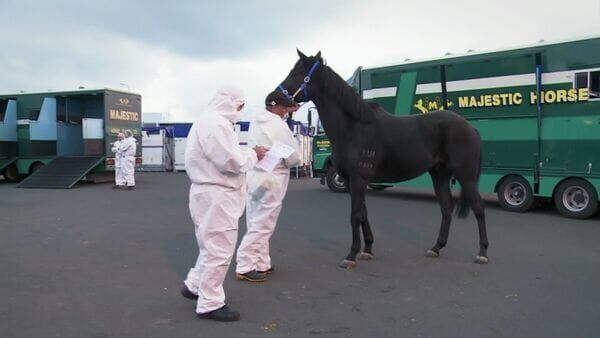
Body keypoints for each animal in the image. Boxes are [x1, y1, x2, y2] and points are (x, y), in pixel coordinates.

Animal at [276, 50, 488, 268]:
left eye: (299, 72)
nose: (272, 98)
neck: (353, 127)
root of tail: (471, 128)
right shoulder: (353, 181)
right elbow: (363, 213)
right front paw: (367, 249)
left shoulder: (358, 179)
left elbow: (355, 215)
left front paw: (351, 255)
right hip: (440, 175)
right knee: (446, 209)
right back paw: (436, 248)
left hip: (467, 176)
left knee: (479, 208)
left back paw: (482, 253)